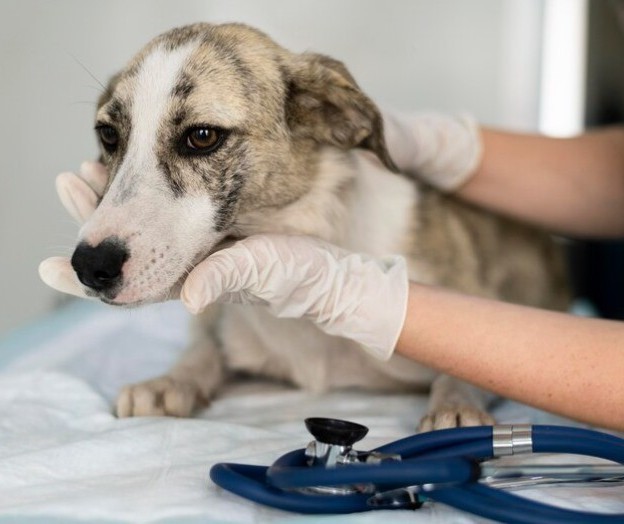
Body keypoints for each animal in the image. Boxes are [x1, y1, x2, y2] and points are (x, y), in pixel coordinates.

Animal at [69, 22, 572, 430]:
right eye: (108, 135)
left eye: (202, 136)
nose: (89, 266)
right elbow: (204, 348)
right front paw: (171, 380)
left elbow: (470, 366)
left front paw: (456, 405)